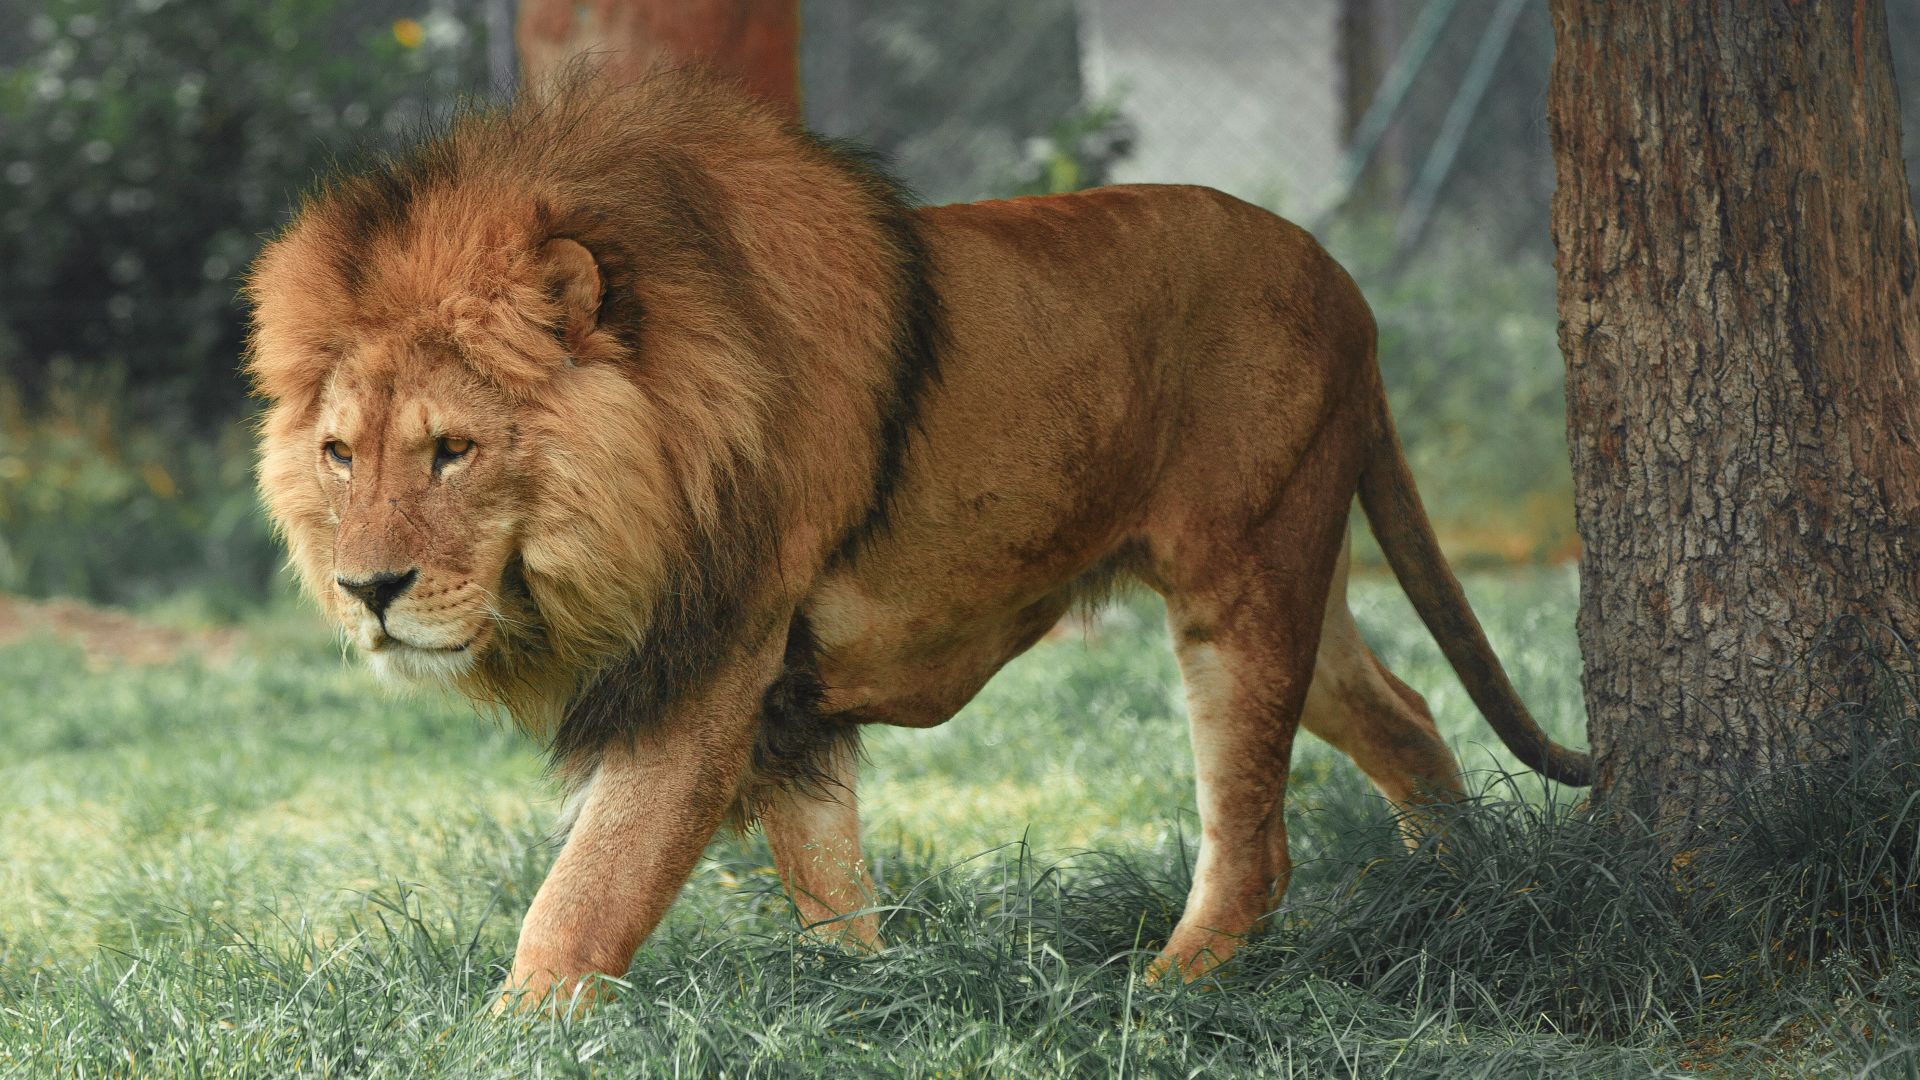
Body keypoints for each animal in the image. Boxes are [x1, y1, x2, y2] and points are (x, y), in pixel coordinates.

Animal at [246, 69, 1590, 1007]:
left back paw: (1157, 999)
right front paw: (871, 1000)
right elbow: (829, 884)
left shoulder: (713, 664)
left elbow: (587, 894)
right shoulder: (781, 700)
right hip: (1293, 567)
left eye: (452, 450)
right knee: (1402, 710)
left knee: (1255, 843)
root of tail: (1345, 283)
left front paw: (509, 1034)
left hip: (1244, 577)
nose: (368, 590)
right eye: (340, 454)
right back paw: (1464, 894)